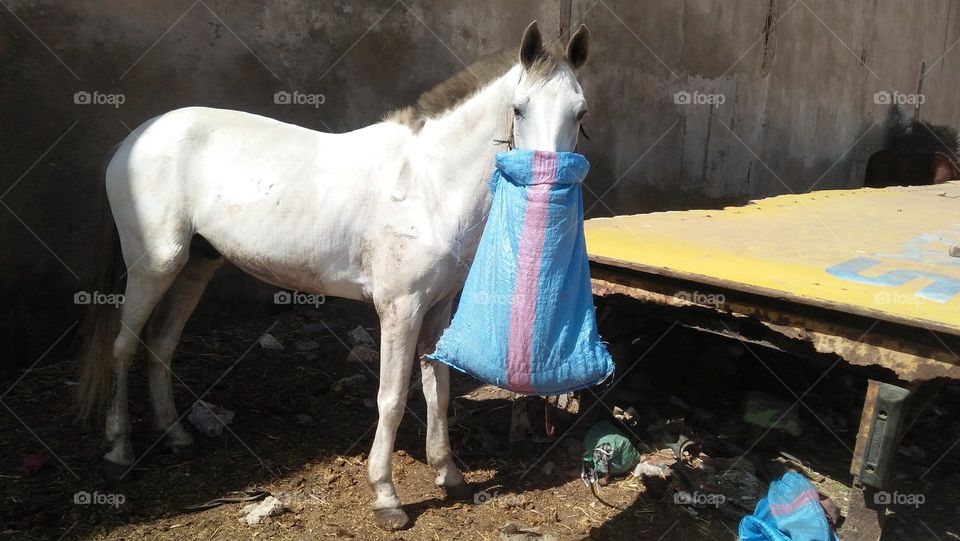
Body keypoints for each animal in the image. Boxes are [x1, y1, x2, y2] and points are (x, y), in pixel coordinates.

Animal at [75, 21, 588, 528]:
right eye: (519, 109)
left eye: (580, 113)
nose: (549, 187)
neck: (427, 184)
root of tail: (135, 139)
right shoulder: (400, 309)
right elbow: (392, 398)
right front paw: (386, 497)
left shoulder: (437, 310)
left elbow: (437, 391)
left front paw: (450, 476)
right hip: (155, 266)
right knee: (123, 348)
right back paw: (119, 452)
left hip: (196, 265)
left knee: (161, 345)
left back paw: (176, 436)